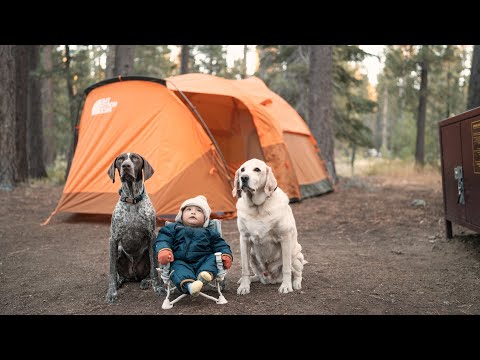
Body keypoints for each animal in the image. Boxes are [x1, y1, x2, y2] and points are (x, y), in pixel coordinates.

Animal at [233, 159, 308, 294]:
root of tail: (271, 279)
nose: (244, 177)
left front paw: (286, 286)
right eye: (242, 169)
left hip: (295, 255)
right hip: (252, 255)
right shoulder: (244, 239)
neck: (258, 207)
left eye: (257, 169)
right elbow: (245, 268)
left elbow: (286, 268)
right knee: (257, 274)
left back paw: (296, 283)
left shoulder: (285, 238)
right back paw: (251, 279)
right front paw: (244, 286)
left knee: (297, 273)